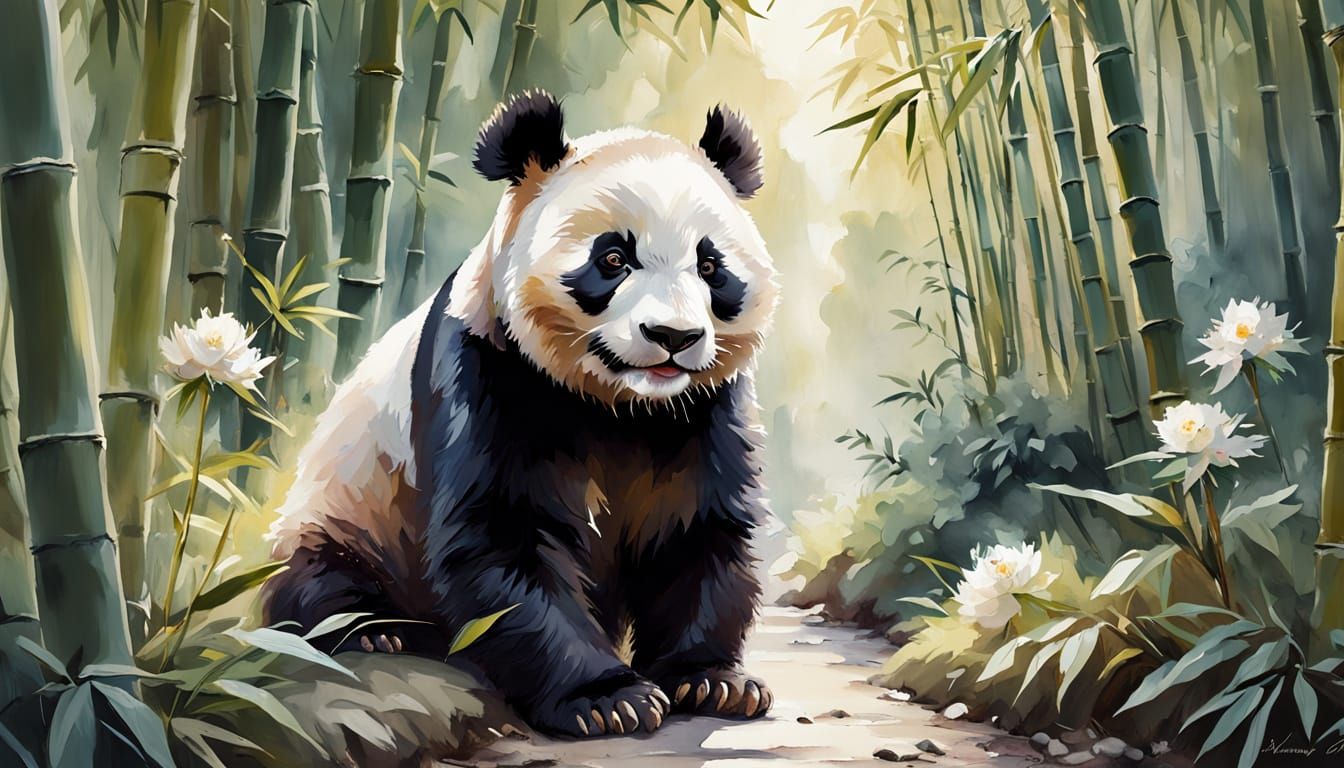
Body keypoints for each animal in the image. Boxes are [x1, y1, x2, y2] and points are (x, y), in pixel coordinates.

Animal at [263, 91, 779, 739]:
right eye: (613, 258)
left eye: (710, 267)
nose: (673, 337)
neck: (622, 403)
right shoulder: (490, 375)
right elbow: (504, 535)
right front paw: (610, 699)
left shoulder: (701, 409)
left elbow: (696, 528)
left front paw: (711, 681)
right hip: (347, 501)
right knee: (317, 575)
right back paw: (377, 631)